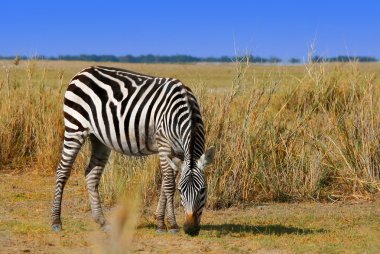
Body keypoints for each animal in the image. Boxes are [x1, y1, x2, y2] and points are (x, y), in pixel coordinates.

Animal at [50, 66, 215, 236]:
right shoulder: (164, 145)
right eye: (181, 191)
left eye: (203, 190)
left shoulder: (179, 153)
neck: (184, 110)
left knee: (91, 175)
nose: (190, 229)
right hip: (75, 128)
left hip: (99, 139)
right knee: (62, 170)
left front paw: (160, 221)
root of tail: (83, 71)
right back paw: (56, 221)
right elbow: (169, 185)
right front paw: (171, 224)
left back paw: (103, 222)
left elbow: (165, 185)